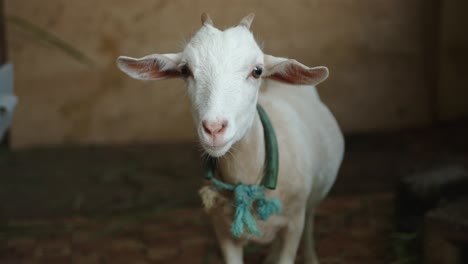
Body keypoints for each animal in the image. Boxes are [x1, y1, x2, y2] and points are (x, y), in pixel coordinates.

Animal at [117, 13, 344, 264]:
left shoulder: (294, 223)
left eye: (257, 70)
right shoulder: (221, 228)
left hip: (311, 200)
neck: (246, 175)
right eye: (185, 70)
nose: (214, 128)